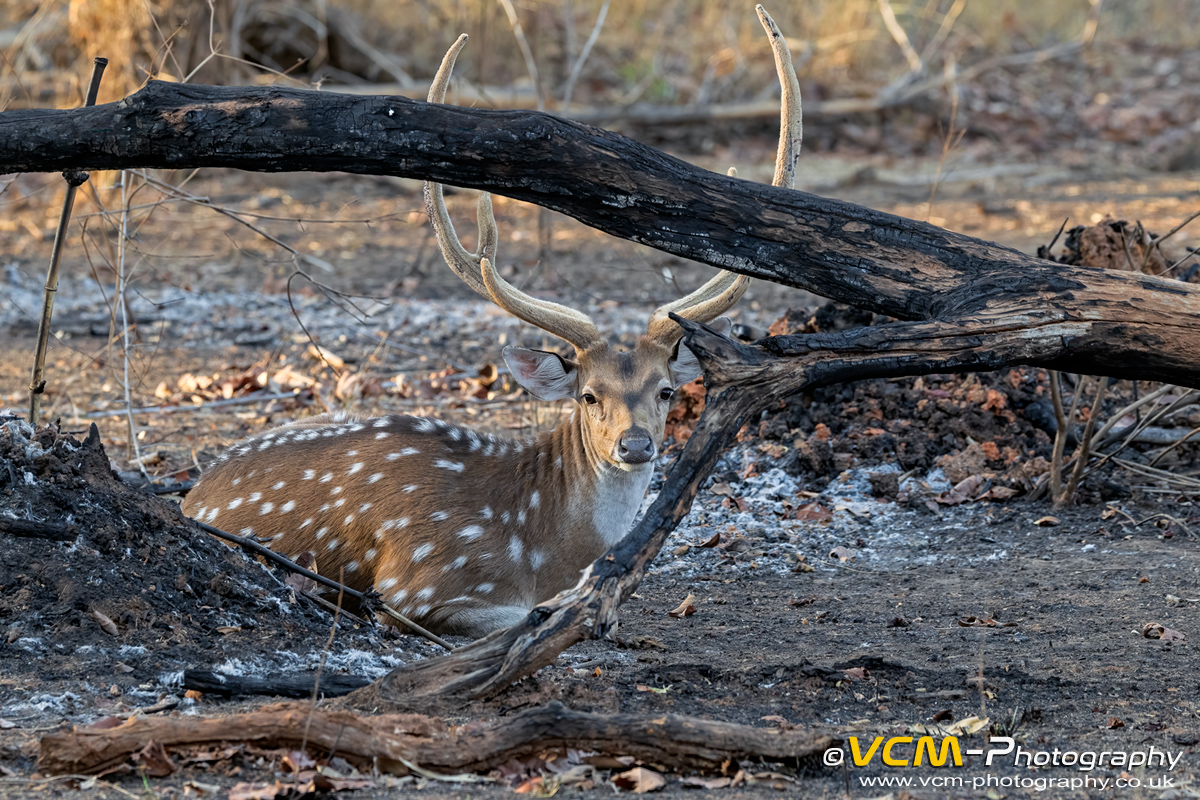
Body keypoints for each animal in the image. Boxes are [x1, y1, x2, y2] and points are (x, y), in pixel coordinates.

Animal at [182, 8, 800, 638]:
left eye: (667, 390)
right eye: (589, 395)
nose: (635, 444)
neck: (543, 550)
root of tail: (190, 494)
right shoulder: (419, 582)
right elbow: (511, 617)